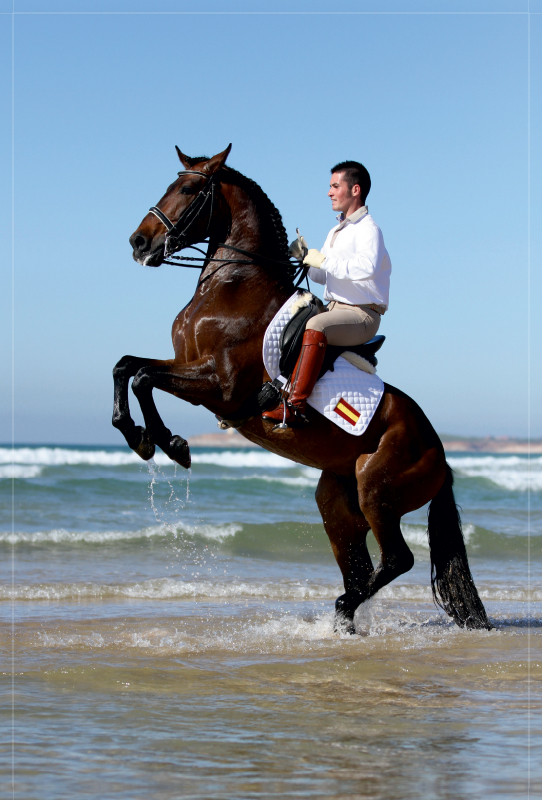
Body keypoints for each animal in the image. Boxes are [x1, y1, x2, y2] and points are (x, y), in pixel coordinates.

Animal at [113, 144, 492, 632]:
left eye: (191, 190)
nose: (139, 243)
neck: (231, 286)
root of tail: (441, 456)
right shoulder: (187, 365)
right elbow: (127, 367)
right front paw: (141, 437)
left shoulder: (220, 385)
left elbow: (143, 377)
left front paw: (168, 443)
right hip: (337, 502)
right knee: (360, 565)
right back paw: (344, 623)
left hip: (377, 490)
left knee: (397, 560)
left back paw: (342, 609)